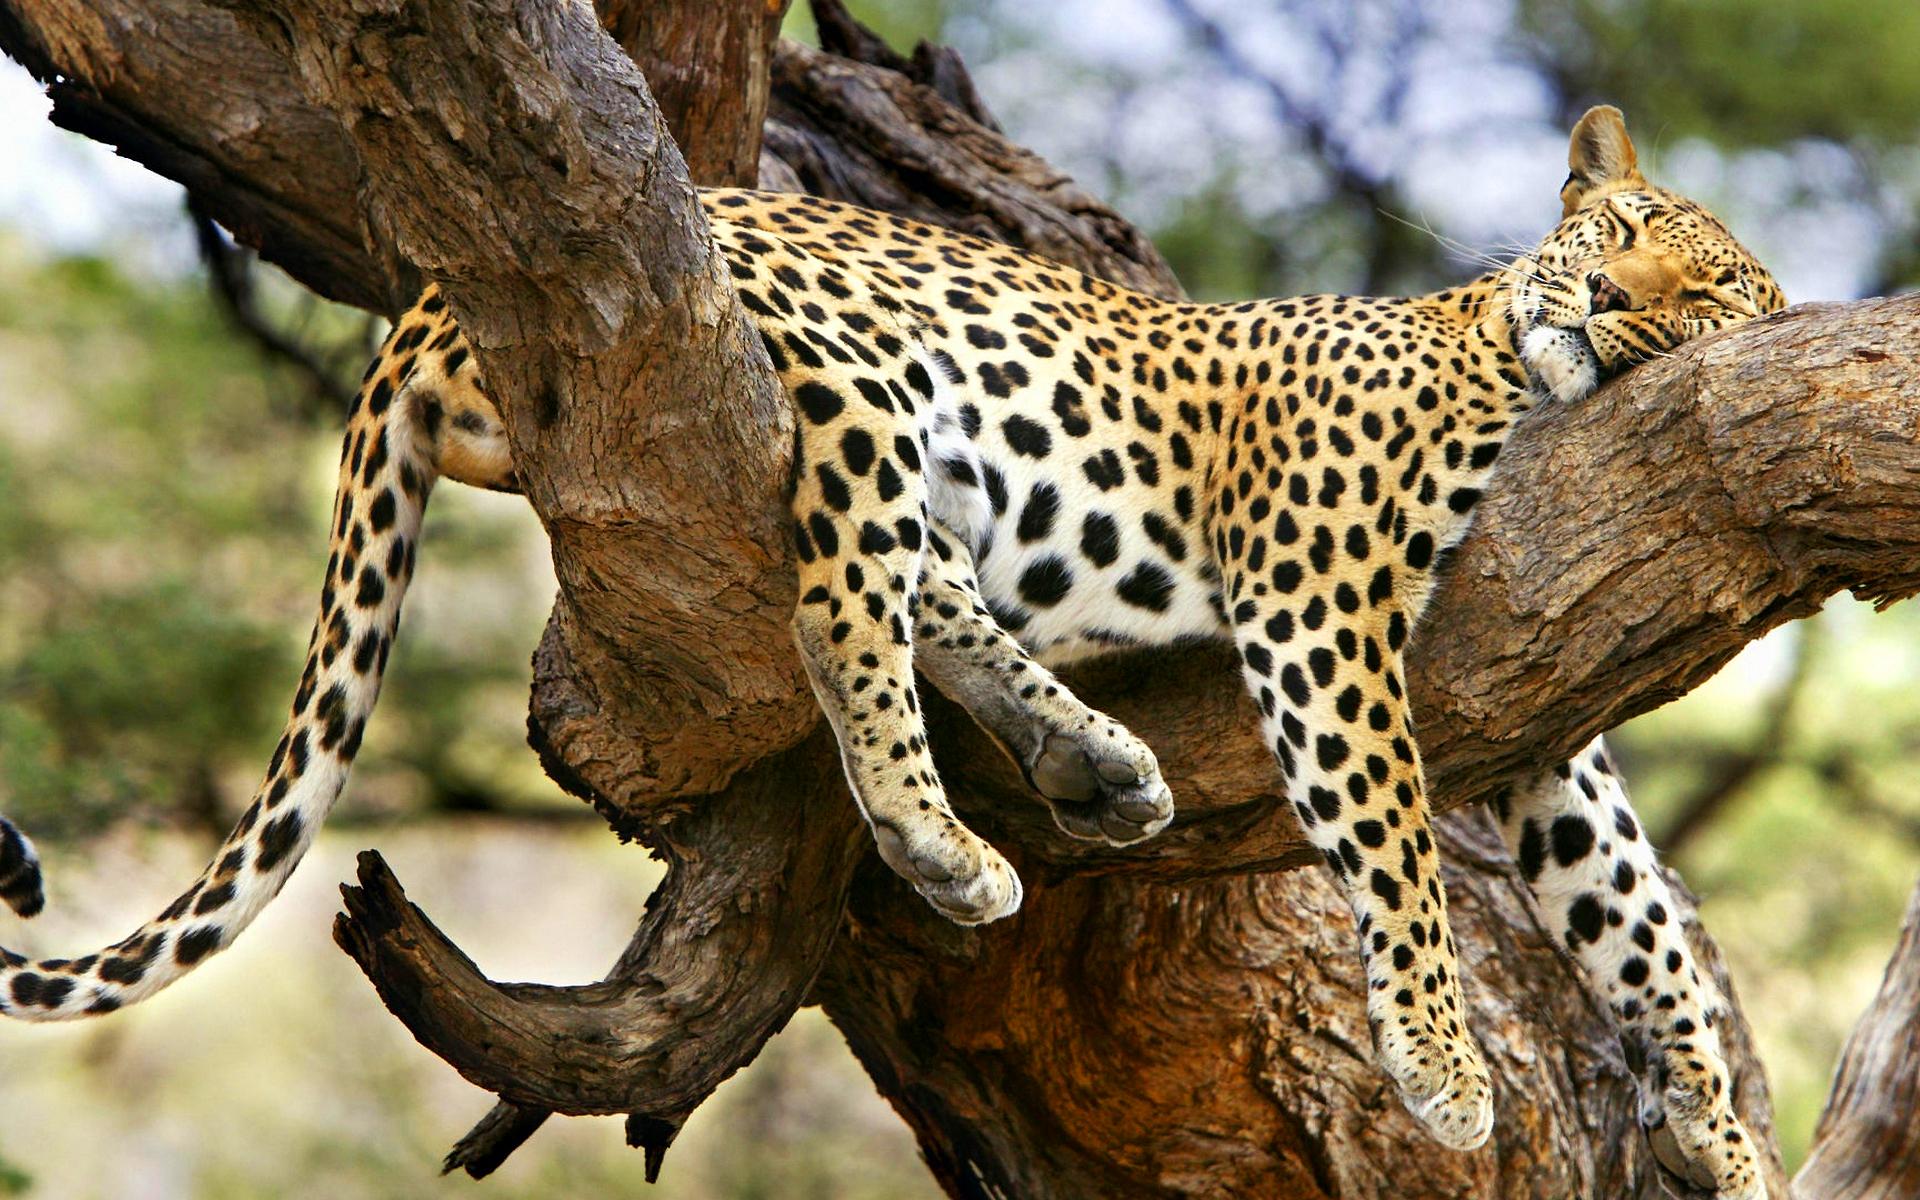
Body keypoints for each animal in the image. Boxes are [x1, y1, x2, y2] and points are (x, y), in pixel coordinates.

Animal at [0, 106, 1783, 1197]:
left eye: (1706, 294)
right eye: (1620, 228)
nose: (1603, 304)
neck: (1506, 364)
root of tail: (433, 295)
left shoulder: (1549, 706)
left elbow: (1634, 913)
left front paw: (1715, 1124)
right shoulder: (1318, 593)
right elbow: (1404, 845)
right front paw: (1445, 1069)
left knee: (924, 583)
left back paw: (1090, 759)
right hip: (856, 372)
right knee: (842, 603)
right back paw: (940, 839)